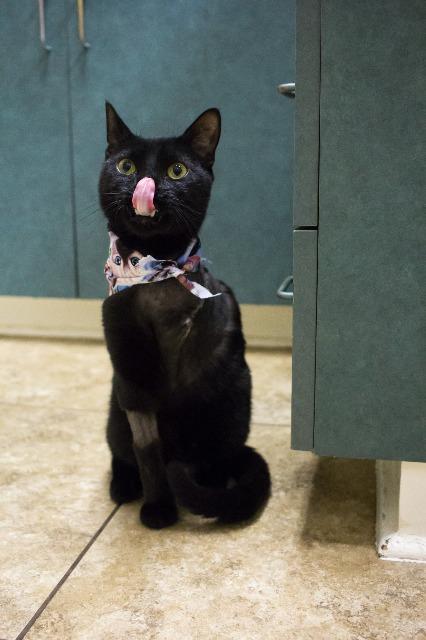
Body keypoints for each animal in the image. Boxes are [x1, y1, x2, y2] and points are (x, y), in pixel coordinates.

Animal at [99, 102, 271, 529]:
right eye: (126, 166)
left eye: (176, 171)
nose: (146, 184)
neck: (155, 274)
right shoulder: (133, 385)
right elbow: (147, 452)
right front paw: (159, 509)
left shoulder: (206, 380)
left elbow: (192, 450)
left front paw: (188, 495)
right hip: (114, 408)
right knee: (122, 452)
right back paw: (124, 486)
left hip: (235, 397)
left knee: (218, 454)